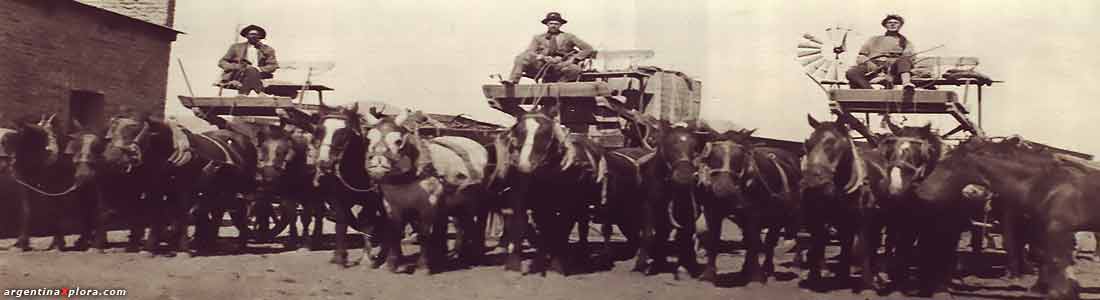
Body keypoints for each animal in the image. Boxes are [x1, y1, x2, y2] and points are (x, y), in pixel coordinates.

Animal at [495, 104, 607, 275]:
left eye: (545, 132)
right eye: (519, 131)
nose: (524, 165)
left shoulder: (568, 205)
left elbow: (562, 229)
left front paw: (557, 264)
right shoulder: (535, 203)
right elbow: (536, 227)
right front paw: (529, 262)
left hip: (583, 203)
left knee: (582, 225)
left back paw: (581, 255)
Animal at [695, 127, 800, 283]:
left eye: (739, 158)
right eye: (713, 157)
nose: (724, 189)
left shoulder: (754, 214)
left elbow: (754, 242)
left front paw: (757, 275)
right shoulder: (712, 211)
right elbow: (713, 240)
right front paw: (708, 274)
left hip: (778, 217)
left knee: (769, 241)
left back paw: (766, 268)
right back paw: (746, 269)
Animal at [800, 113, 893, 292]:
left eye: (831, 143)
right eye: (807, 143)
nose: (811, 184)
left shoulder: (862, 220)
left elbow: (862, 247)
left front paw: (866, 284)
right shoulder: (832, 220)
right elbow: (826, 245)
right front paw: (835, 276)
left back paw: (879, 274)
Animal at [915, 136, 1100, 298]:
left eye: (947, 164)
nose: (920, 192)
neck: (1048, 185)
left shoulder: (1058, 230)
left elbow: (1057, 262)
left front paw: (1061, 293)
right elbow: (1048, 260)